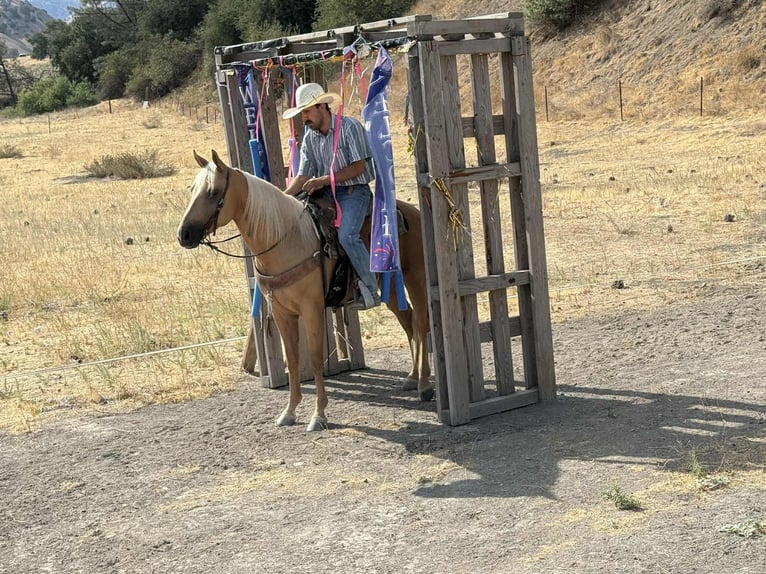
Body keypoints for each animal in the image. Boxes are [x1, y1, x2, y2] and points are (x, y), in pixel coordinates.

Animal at [177, 150, 433, 431]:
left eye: (213, 192)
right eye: (192, 189)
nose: (183, 234)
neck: (286, 240)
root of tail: (413, 211)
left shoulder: (312, 309)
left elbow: (314, 357)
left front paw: (318, 415)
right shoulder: (281, 312)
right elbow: (293, 358)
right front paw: (289, 412)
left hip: (415, 278)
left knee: (420, 324)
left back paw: (424, 384)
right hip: (392, 288)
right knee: (409, 322)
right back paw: (411, 377)